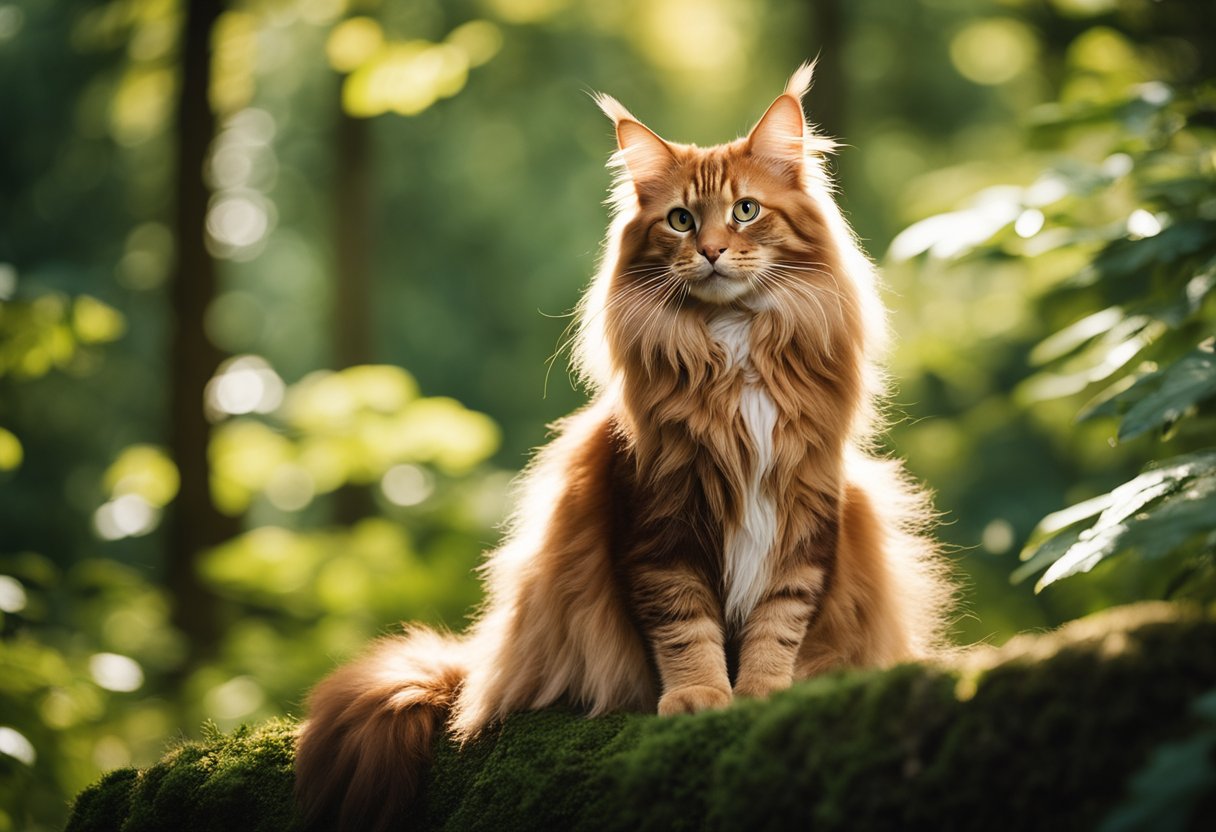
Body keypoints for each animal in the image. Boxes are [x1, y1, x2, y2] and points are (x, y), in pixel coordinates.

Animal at [291, 65, 948, 832]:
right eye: (681, 220)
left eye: (746, 211)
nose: (712, 250)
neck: (735, 353)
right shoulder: (659, 523)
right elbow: (685, 628)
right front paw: (699, 697)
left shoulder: (806, 512)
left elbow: (777, 622)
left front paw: (763, 691)